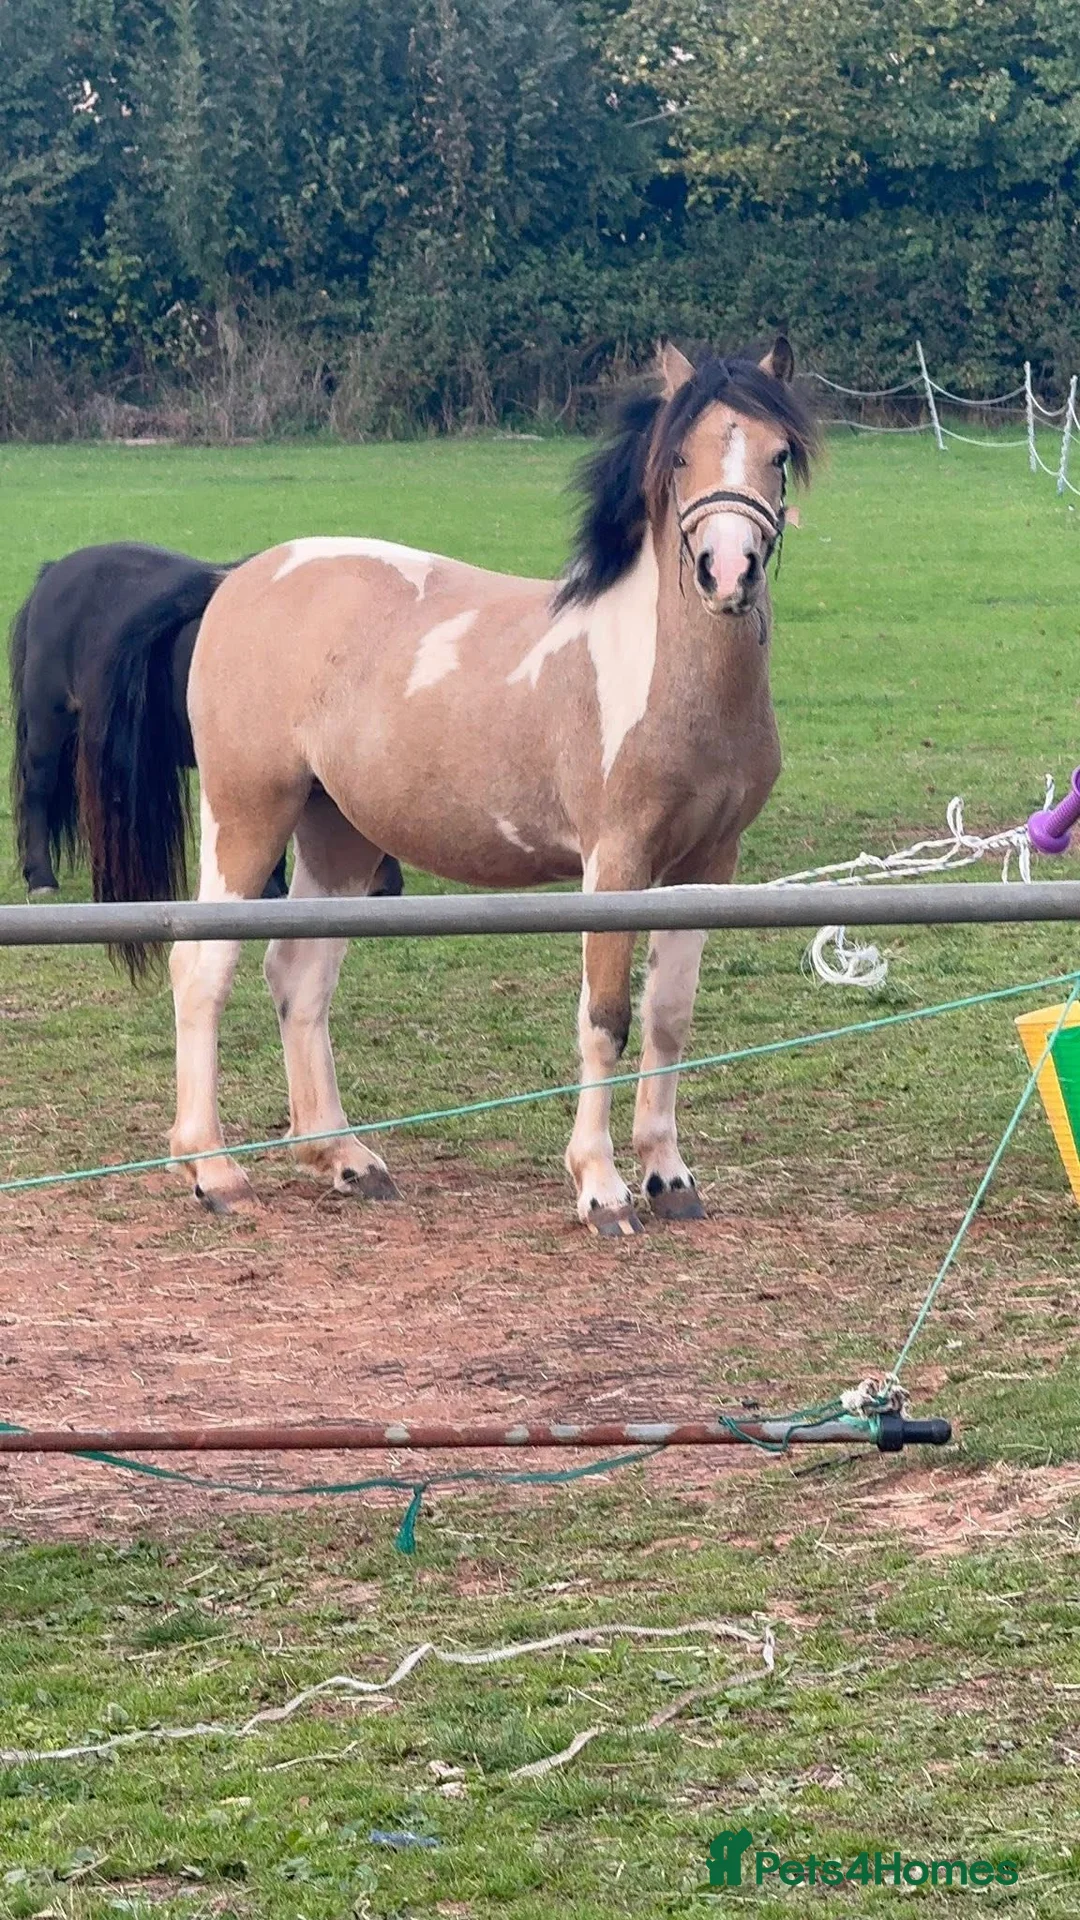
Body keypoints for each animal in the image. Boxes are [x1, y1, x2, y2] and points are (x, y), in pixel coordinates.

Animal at [80, 338, 816, 1233]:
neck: (666, 675)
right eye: (680, 456)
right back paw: (213, 1171)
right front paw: (601, 1188)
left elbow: (668, 1018)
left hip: (339, 836)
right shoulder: (614, 863)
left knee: (298, 979)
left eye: (778, 454)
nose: (727, 570)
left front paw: (668, 1177)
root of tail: (235, 580)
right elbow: (604, 1020)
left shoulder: (708, 865)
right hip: (247, 817)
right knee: (202, 970)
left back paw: (345, 1159)